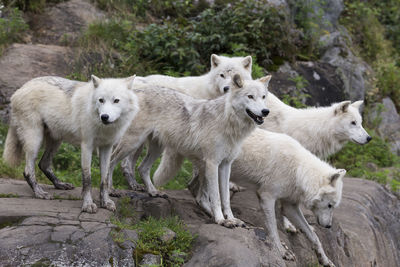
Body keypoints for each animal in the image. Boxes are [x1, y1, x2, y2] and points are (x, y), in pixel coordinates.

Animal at [3, 75, 139, 214]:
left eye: (116, 100)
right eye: (101, 100)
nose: (104, 117)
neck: (103, 127)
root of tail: (20, 89)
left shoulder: (107, 147)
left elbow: (104, 179)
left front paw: (105, 202)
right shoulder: (86, 146)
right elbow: (87, 179)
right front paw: (88, 204)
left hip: (56, 140)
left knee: (43, 164)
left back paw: (60, 184)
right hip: (35, 140)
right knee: (28, 171)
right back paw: (40, 193)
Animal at [108, 75, 270, 228]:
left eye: (263, 97)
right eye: (250, 96)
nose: (265, 111)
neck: (228, 123)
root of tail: (136, 92)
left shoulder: (225, 165)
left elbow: (225, 198)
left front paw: (231, 219)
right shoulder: (212, 163)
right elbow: (216, 197)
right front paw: (221, 220)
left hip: (157, 148)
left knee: (142, 168)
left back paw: (153, 192)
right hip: (132, 144)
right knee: (111, 162)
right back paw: (110, 191)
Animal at [117, 54, 253, 192]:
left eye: (235, 76)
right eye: (222, 75)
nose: (227, 88)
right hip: (138, 139)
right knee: (125, 163)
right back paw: (133, 184)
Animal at [190, 129, 344, 266]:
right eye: (330, 205)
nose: (329, 226)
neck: (299, 171)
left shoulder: (290, 206)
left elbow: (313, 236)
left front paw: (325, 260)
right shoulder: (267, 197)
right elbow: (274, 229)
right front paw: (282, 252)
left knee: (196, 193)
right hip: (213, 167)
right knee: (201, 196)